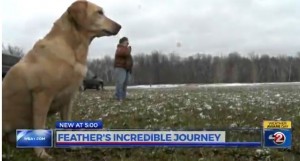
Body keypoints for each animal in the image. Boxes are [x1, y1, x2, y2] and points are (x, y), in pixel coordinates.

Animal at [2, 0, 120, 158]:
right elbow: (39, 126)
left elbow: (68, 124)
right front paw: (41, 154)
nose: (119, 26)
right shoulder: (42, 95)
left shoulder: (68, 99)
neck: (72, 47)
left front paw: (70, 146)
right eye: (99, 12)